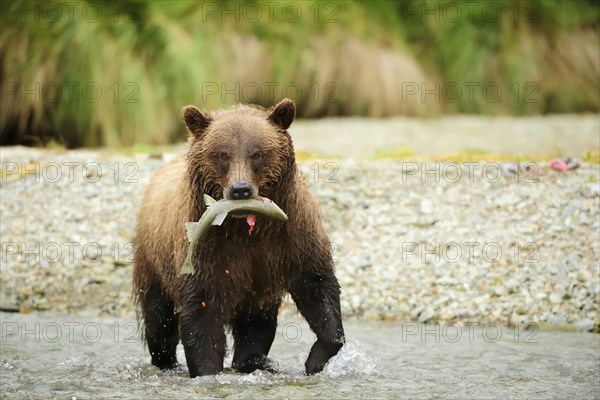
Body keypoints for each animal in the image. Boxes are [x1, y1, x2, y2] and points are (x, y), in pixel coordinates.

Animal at [134, 98, 344, 376]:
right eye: (222, 154)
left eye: (257, 153)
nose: (240, 189)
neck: (243, 227)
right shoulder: (207, 248)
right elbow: (201, 309)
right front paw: (207, 369)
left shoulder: (293, 237)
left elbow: (318, 286)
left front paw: (315, 360)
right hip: (154, 258)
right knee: (159, 318)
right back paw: (167, 361)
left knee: (257, 322)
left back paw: (253, 361)